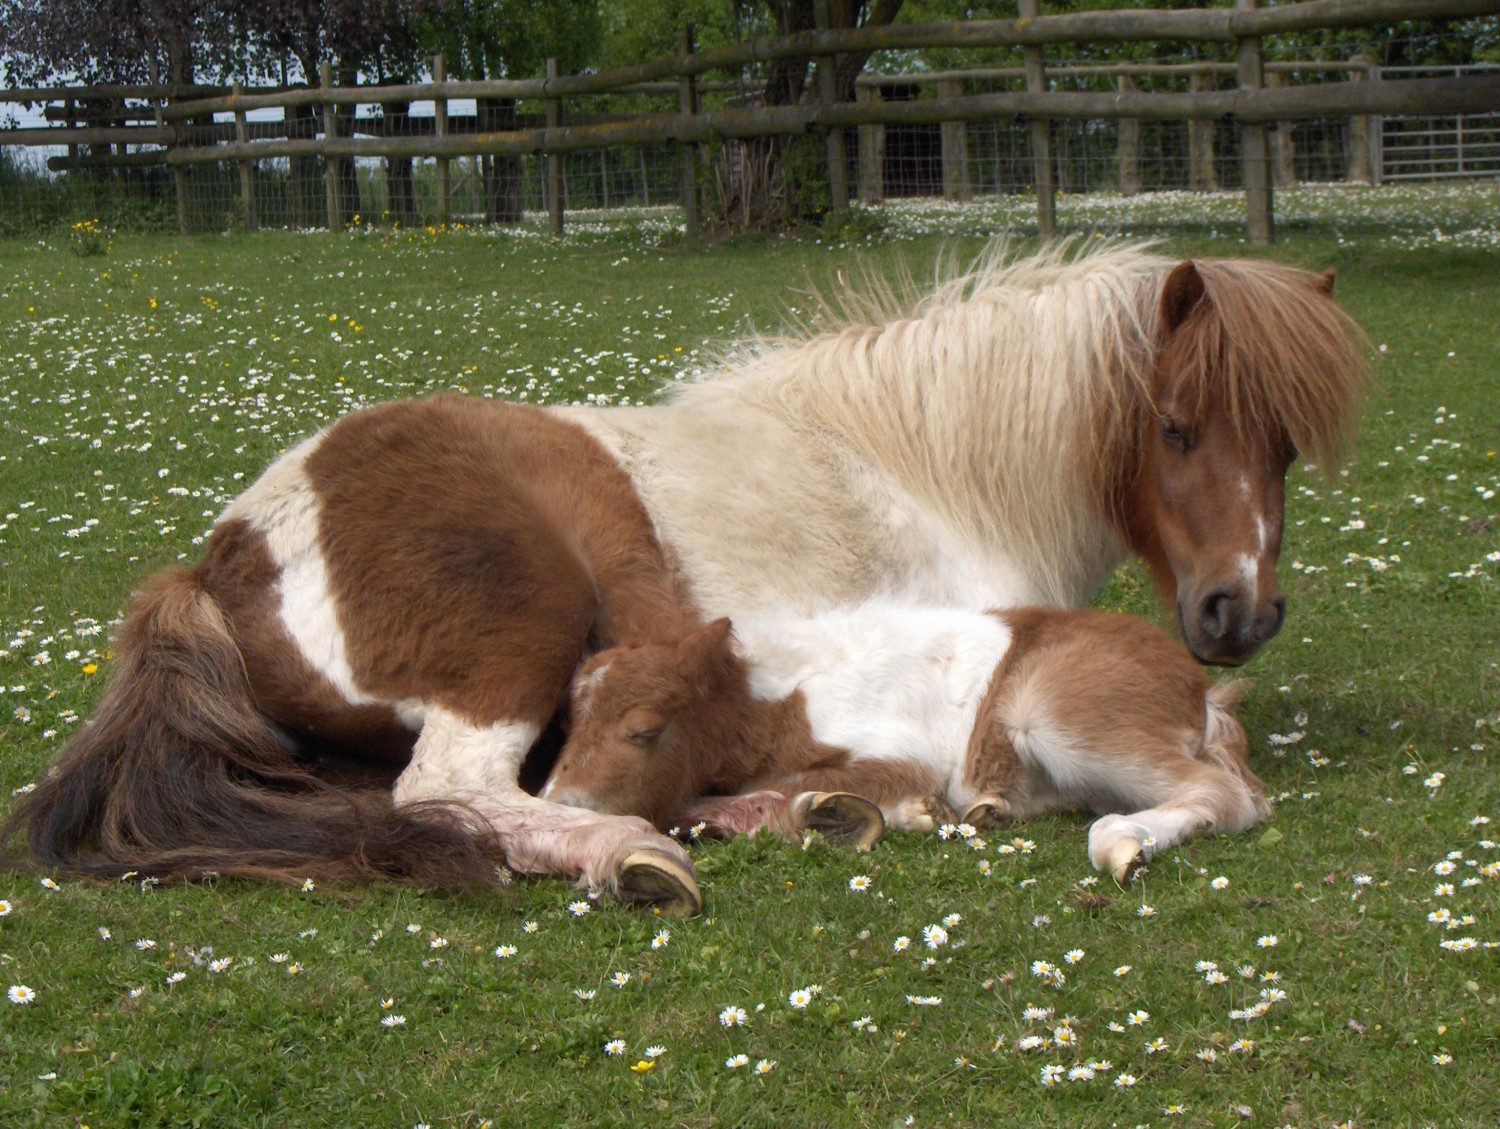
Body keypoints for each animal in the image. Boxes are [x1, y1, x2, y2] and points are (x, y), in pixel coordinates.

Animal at [541, 604, 1271, 883]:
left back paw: (1121, 841)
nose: (559, 805)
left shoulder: (898, 753)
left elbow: (786, 789)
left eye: (644, 730)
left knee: (1228, 795)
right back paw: (989, 809)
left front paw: (848, 811)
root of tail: (1201, 691)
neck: (775, 699)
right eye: (569, 724)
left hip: (1052, 713)